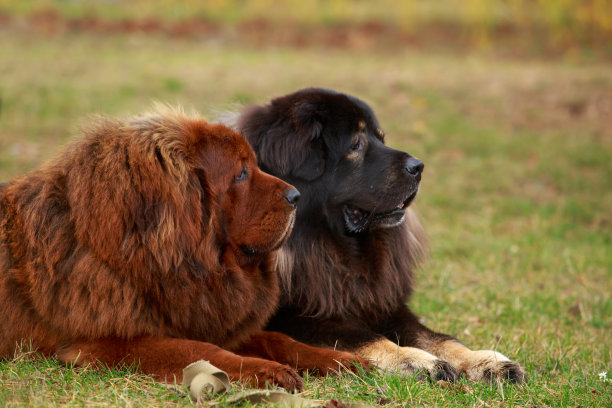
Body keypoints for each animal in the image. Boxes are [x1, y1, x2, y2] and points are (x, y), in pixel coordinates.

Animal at [0, 107, 364, 390]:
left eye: (255, 165)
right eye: (241, 173)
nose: (296, 197)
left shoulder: (203, 313)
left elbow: (276, 338)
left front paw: (339, 359)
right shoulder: (107, 341)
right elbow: (200, 351)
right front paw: (266, 370)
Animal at [227, 87, 524, 384]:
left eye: (380, 138)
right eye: (356, 145)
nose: (418, 166)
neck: (333, 245)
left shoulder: (381, 304)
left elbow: (436, 337)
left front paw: (485, 360)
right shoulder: (296, 317)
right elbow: (367, 338)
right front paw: (416, 361)